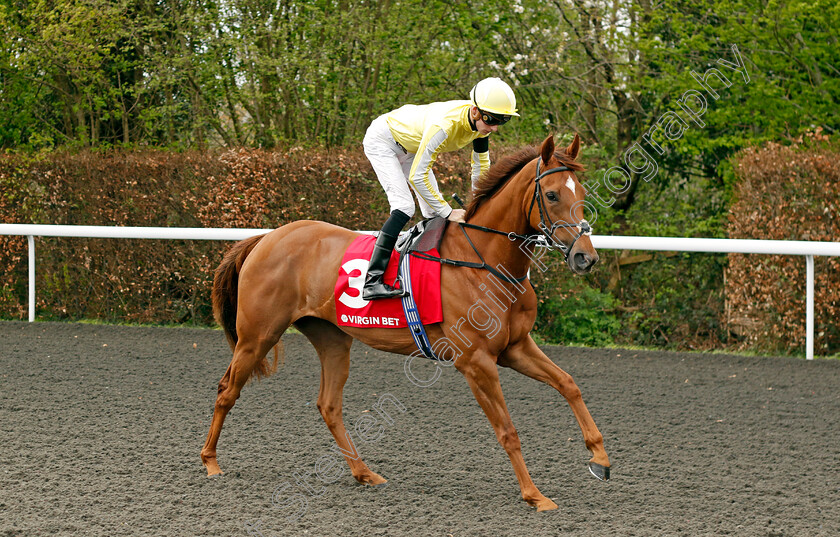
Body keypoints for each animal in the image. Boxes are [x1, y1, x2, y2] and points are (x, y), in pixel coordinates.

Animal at [203, 134, 612, 510]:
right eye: (553, 195)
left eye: (582, 190)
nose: (585, 257)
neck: (485, 262)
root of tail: (265, 237)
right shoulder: (476, 361)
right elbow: (507, 430)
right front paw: (534, 495)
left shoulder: (515, 347)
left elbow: (569, 384)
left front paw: (600, 458)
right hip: (258, 335)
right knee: (227, 390)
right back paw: (210, 463)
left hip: (332, 338)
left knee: (328, 405)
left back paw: (364, 472)